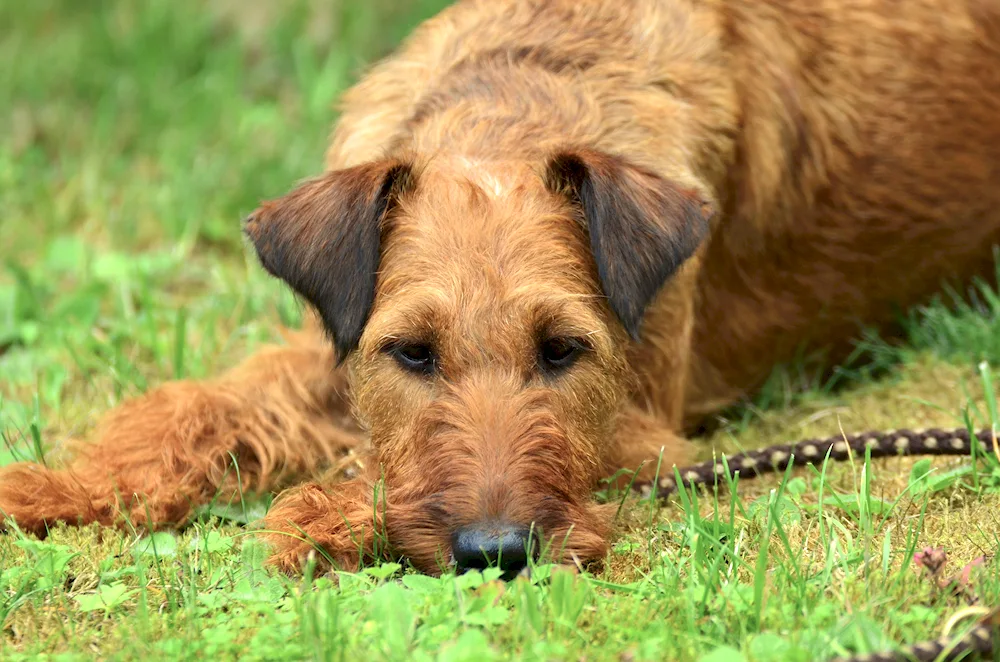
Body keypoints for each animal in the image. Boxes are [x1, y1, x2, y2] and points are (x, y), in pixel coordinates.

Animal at [1, 0, 1000, 580]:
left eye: (563, 350)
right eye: (412, 352)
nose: (497, 553)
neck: (512, 101)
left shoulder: (647, 429)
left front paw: (323, 514)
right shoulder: (338, 339)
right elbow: (197, 406)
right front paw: (58, 486)